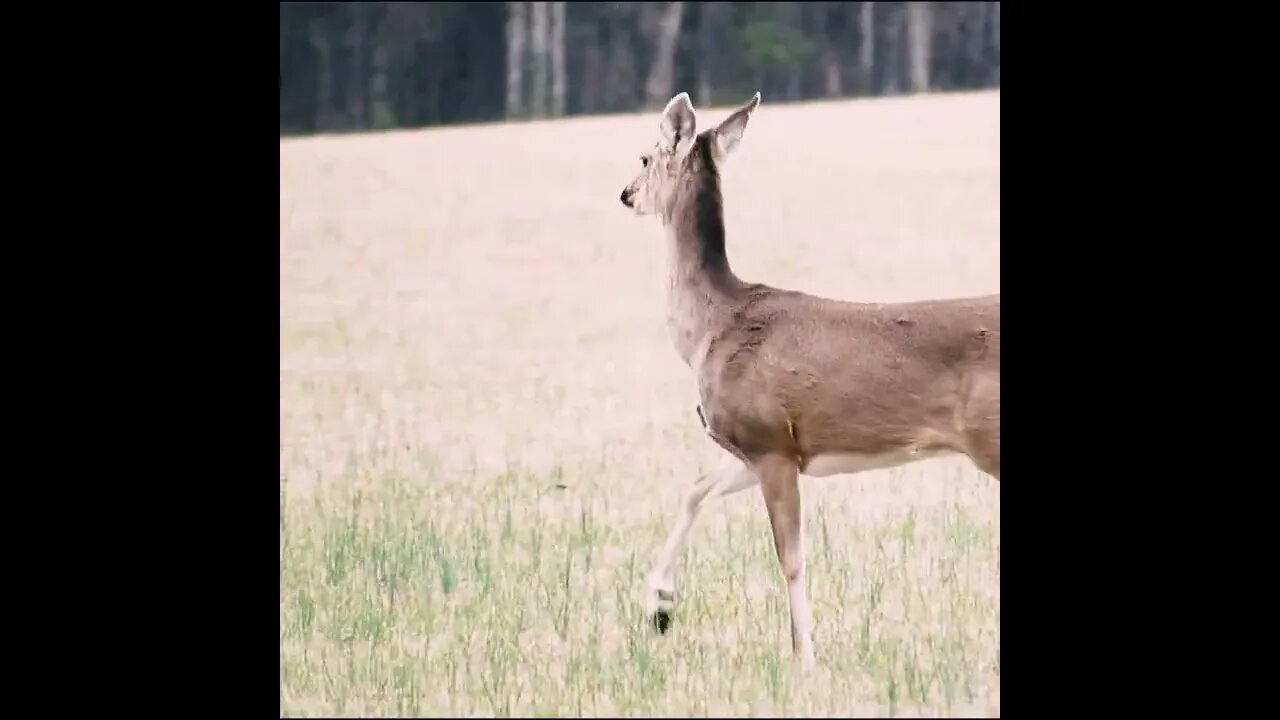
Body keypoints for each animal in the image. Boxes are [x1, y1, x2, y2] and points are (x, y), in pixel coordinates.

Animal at [616, 92, 998, 666]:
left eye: (644, 157)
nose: (625, 194)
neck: (710, 329)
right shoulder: (762, 446)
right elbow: (696, 488)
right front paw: (661, 604)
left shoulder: (770, 441)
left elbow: (791, 557)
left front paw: (805, 657)